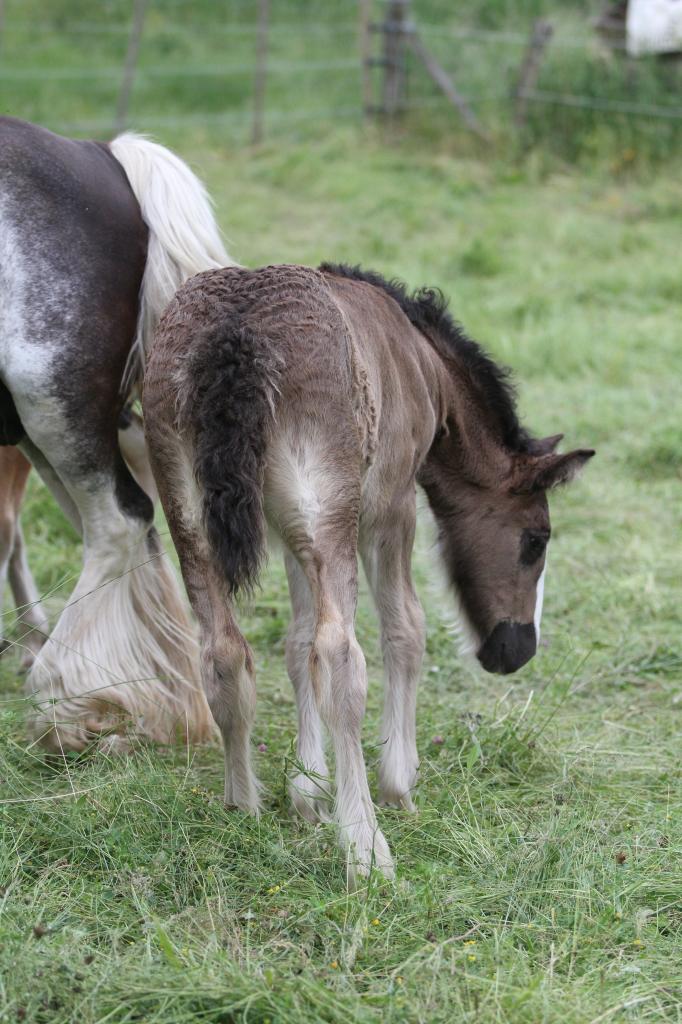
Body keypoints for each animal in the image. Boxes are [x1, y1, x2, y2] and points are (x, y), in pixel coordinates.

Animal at [142, 266, 589, 888]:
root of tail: (233, 333)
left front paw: (307, 792)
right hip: (330, 511)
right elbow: (404, 630)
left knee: (223, 651)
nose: (516, 649)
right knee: (340, 657)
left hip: (191, 518)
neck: (422, 362)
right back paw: (365, 846)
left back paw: (241, 806)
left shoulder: (291, 532)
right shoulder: (391, 506)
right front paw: (397, 782)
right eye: (536, 541)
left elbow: (296, 642)